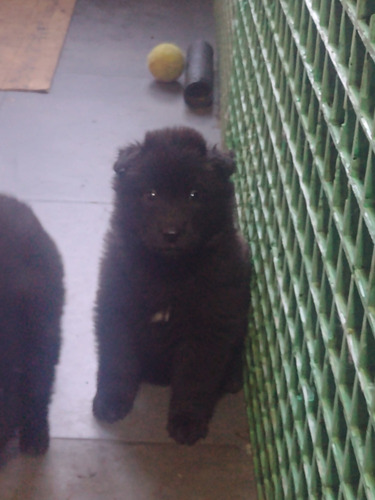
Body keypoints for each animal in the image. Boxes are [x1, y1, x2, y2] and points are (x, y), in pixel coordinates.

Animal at [93, 126, 251, 446]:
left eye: (194, 194)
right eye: (150, 194)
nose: (171, 233)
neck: (168, 273)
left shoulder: (211, 324)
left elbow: (195, 379)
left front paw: (187, 421)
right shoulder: (115, 306)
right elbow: (117, 359)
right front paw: (111, 401)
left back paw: (230, 379)